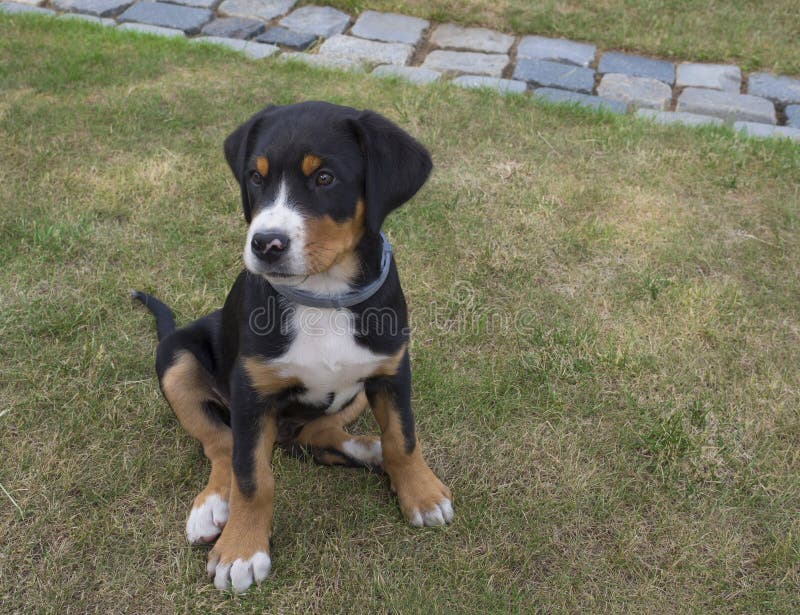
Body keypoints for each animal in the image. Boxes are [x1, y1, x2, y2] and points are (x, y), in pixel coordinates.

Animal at [134, 102, 454, 596]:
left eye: (324, 177)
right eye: (255, 176)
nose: (266, 244)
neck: (322, 294)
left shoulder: (391, 370)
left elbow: (403, 438)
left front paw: (421, 493)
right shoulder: (252, 393)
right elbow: (251, 477)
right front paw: (241, 550)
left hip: (353, 394)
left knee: (316, 435)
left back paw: (368, 450)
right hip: (175, 358)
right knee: (222, 443)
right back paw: (211, 507)